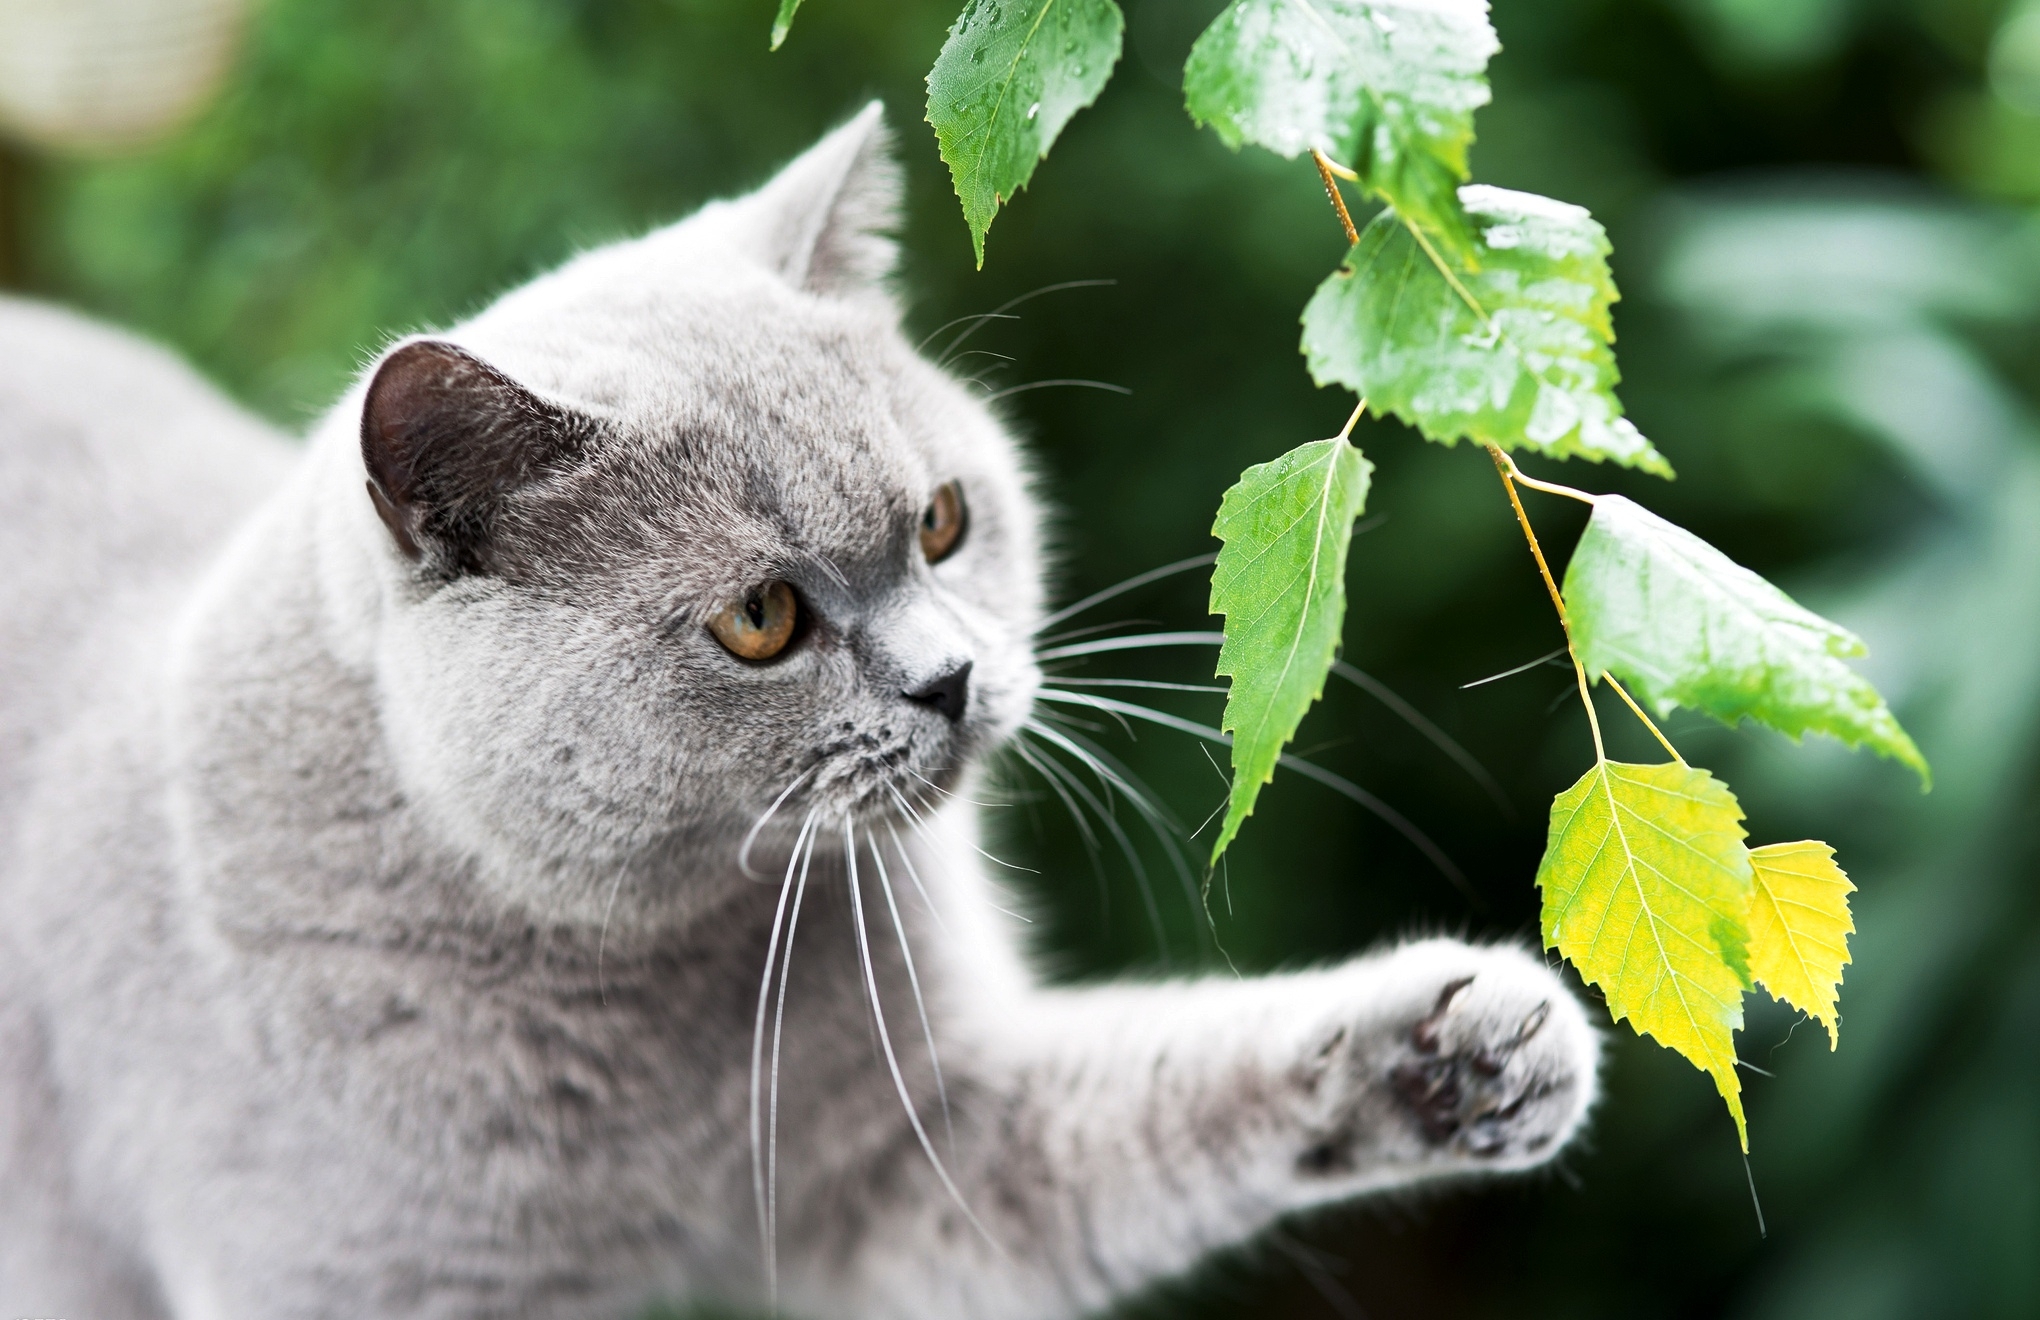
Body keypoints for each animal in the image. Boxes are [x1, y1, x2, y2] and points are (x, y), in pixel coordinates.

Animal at [0, 106, 1591, 1320]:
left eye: (944, 522)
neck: (672, 991)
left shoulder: (911, 1158)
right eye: (762, 619)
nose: (950, 678)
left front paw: (1474, 1051)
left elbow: (1152, 1104)